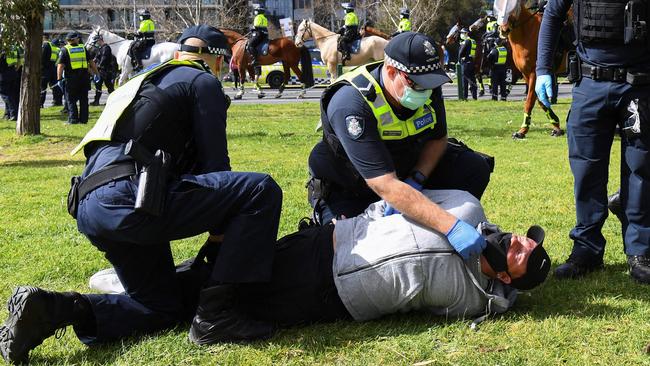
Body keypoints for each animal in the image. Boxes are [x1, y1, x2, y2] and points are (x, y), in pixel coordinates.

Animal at [494, 0, 564, 138]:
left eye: (513, 6)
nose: (504, 29)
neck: (527, 32)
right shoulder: (526, 74)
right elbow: (541, 101)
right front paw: (556, 125)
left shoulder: (534, 74)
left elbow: (530, 101)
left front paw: (522, 130)